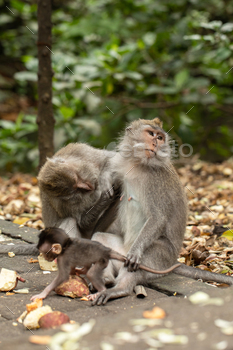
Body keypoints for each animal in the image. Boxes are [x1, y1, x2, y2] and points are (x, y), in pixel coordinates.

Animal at [30, 228, 180, 302]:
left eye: (44, 252)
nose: (45, 257)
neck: (66, 245)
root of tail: (107, 250)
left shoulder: (63, 258)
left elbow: (62, 277)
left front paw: (42, 294)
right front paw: (75, 272)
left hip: (102, 260)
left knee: (92, 273)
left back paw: (101, 290)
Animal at [92, 117, 233, 304]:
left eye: (160, 137)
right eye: (151, 134)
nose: (155, 143)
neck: (138, 164)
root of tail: (173, 261)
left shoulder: (156, 181)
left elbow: (157, 217)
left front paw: (136, 253)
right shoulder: (122, 165)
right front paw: (106, 184)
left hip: (162, 259)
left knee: (144, 258)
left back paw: (120, 288)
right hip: (121, 252)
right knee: (99, 239)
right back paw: (106, 279)